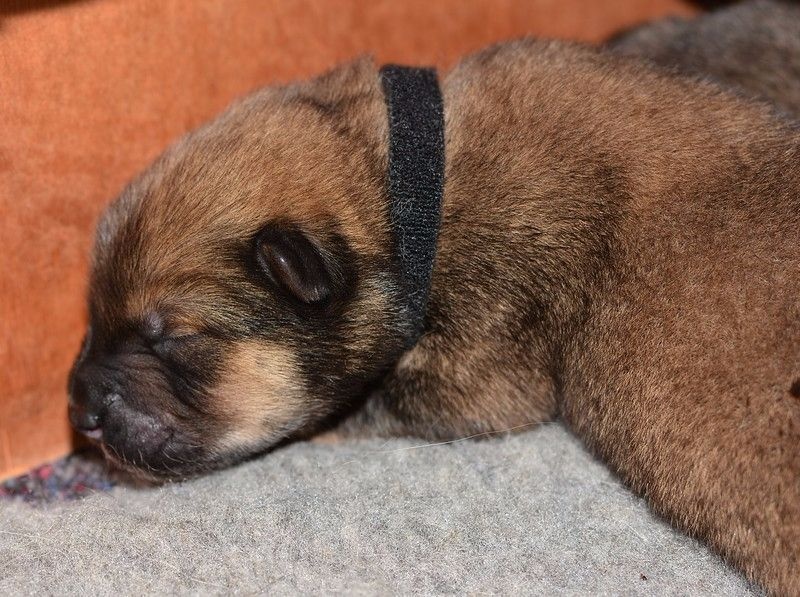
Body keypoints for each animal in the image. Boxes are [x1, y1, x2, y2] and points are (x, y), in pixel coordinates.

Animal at [69, 3, 800, 594]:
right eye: (93, 317)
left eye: (170, 338)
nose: (79, 409)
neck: (405, 191)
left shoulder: (482, 361)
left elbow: (363, 404)